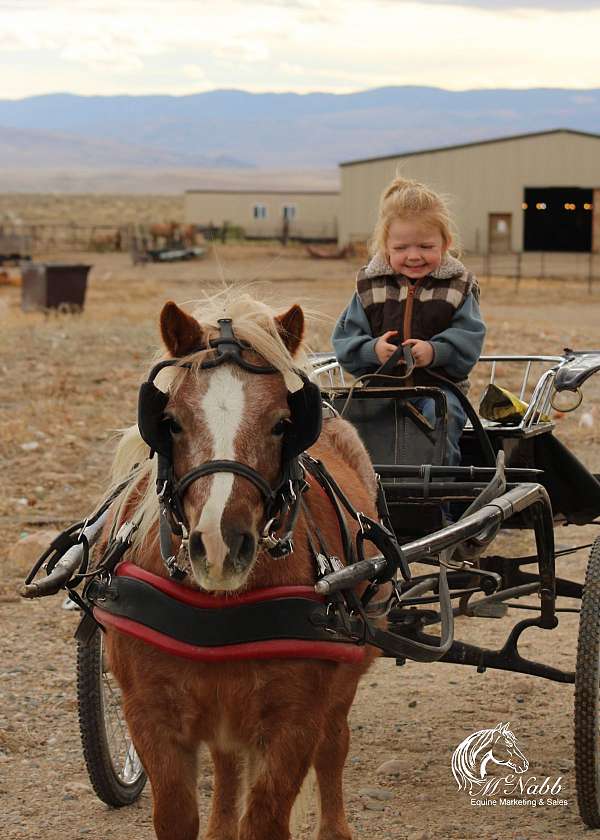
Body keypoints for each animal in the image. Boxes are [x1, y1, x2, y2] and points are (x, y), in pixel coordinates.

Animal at [99, 294, 380, 840]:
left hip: (347, 673)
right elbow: (179, 816)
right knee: (228, 763)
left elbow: (267, 817)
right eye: (171, 421)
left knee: (334, 745)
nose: (220, 544)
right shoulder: (150, 715)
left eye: (282, 423)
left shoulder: (293, 722)